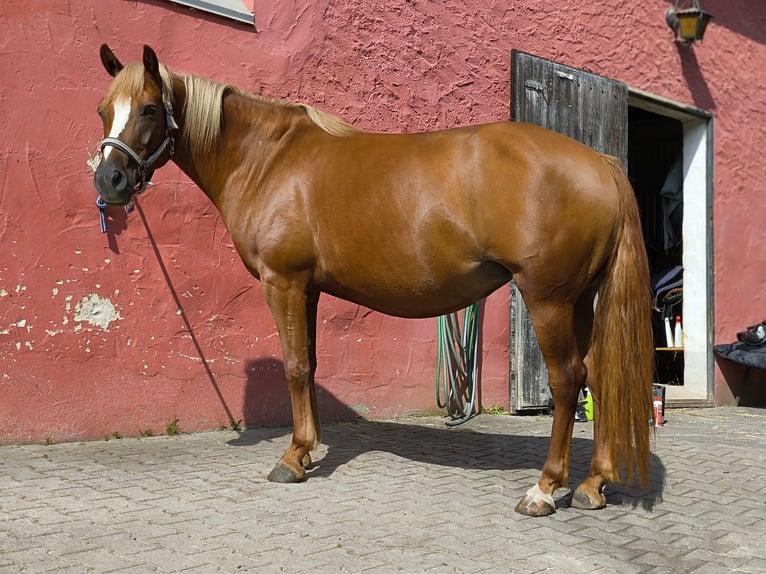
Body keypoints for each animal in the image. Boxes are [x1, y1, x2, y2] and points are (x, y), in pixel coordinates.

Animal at [91, 47, 656, 520]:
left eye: (148, 109)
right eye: (103, 110)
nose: (108, 182)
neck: (268, 158)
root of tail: (601, 163)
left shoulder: (283, 282)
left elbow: (294, 367)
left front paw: (291, 458)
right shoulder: (308, 288)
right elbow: (310, 363)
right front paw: (308, 448)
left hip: (549, 299)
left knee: (567, 380)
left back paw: (545, 488)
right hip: (581, 300)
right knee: (598, 374)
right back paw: (592, 485)